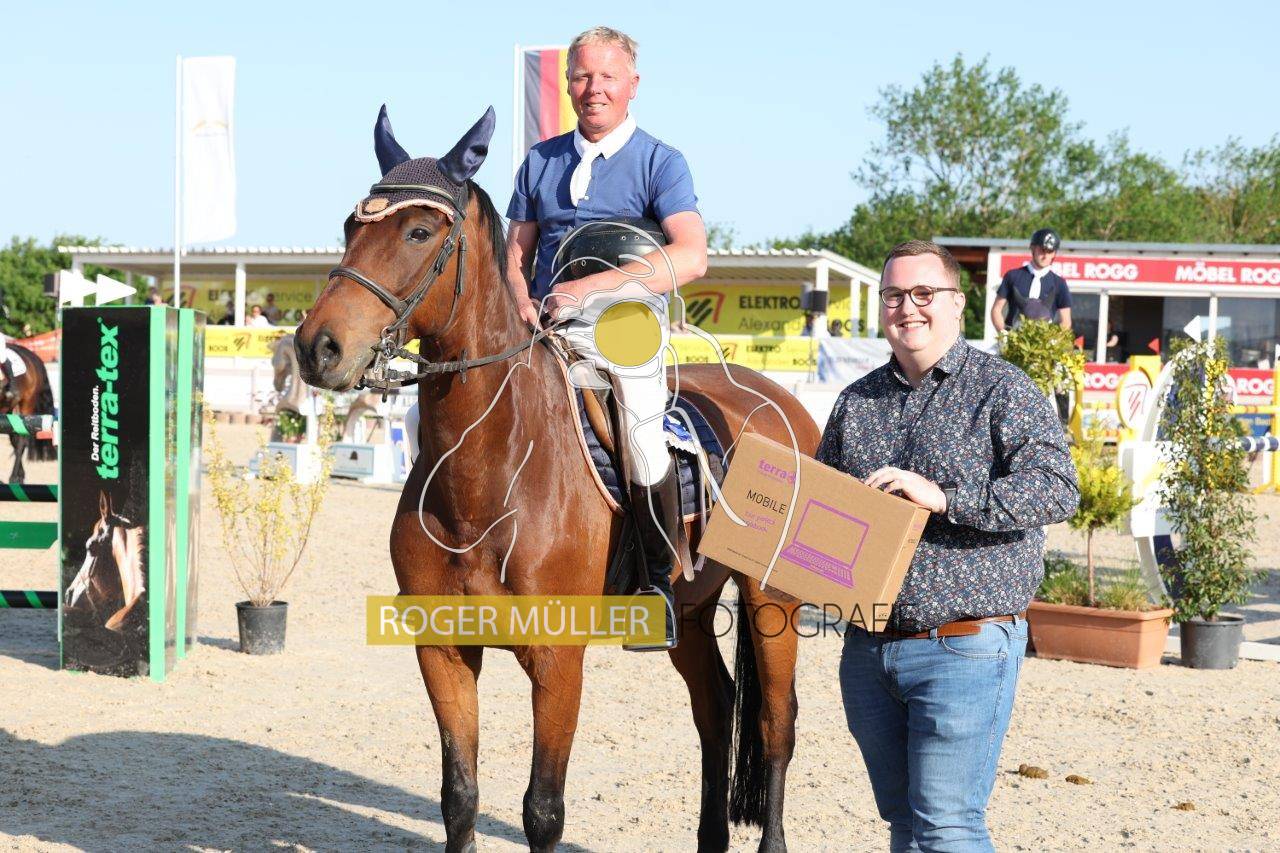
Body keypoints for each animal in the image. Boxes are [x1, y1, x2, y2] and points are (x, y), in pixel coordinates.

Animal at [0, 341, 56, 483]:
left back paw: (14, 477)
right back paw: (20, 475)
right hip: (10, 409)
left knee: (20, 439)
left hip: (26, 404)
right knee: (14, 437)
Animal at [294, 109, 819, 852]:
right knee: (717, 712)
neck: (489, 472)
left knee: (775, 726)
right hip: (688, 609)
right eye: (349, 226)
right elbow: (459, 796)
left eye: (419, 232)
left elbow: (543, 808)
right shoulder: (442, 649)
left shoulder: (556, 659)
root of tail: (777, 399)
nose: (318, 347)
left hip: (774, 602)